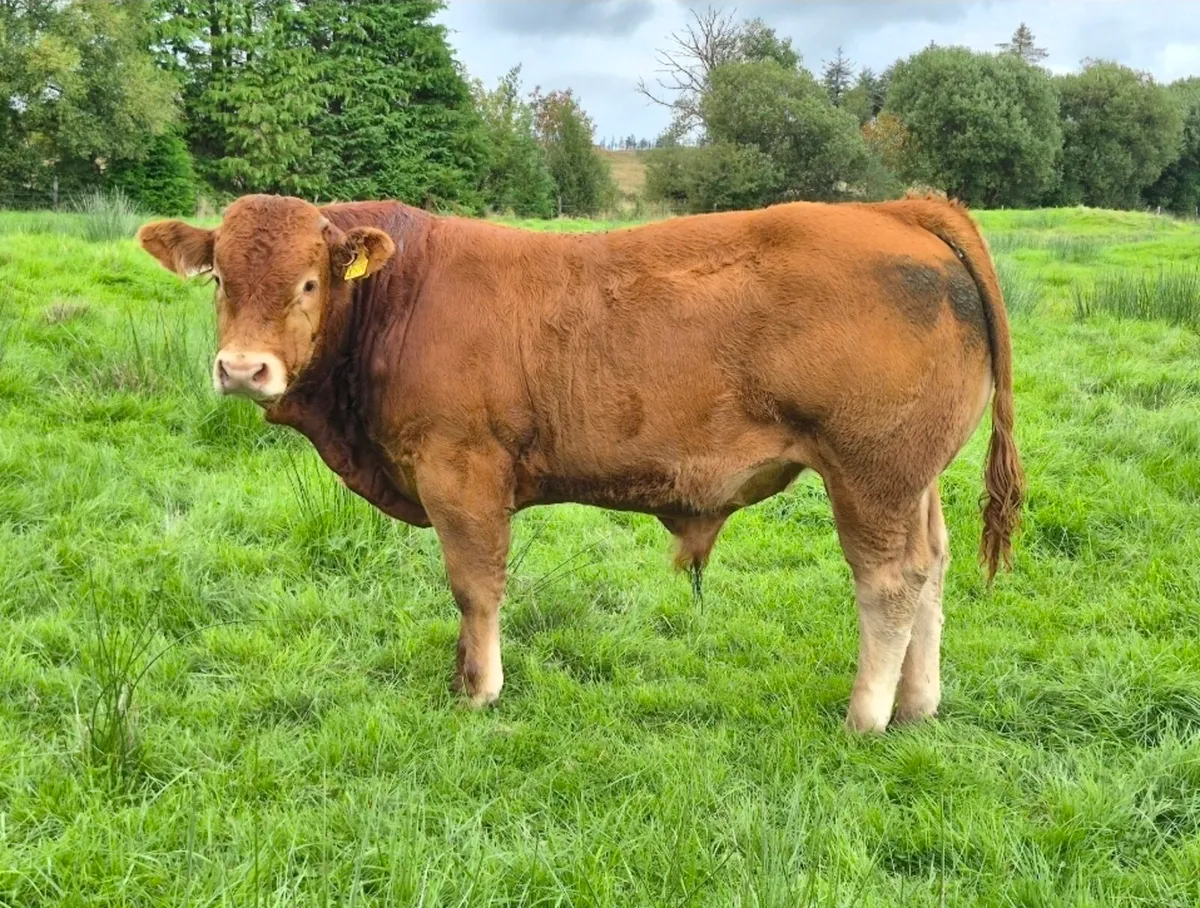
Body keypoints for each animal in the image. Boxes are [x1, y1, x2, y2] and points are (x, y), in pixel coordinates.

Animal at [138, 192, 1022, 733]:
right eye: (219, 279)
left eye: (309, 283)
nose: (242, 369)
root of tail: (897, 209)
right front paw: (461, 676)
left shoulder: (462, 472)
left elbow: (474, 585)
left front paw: (479, 690)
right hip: (915, 480)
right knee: (932, 569)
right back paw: (918, 705)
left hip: (870, 475)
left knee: (889, 583)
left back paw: (866, 717)